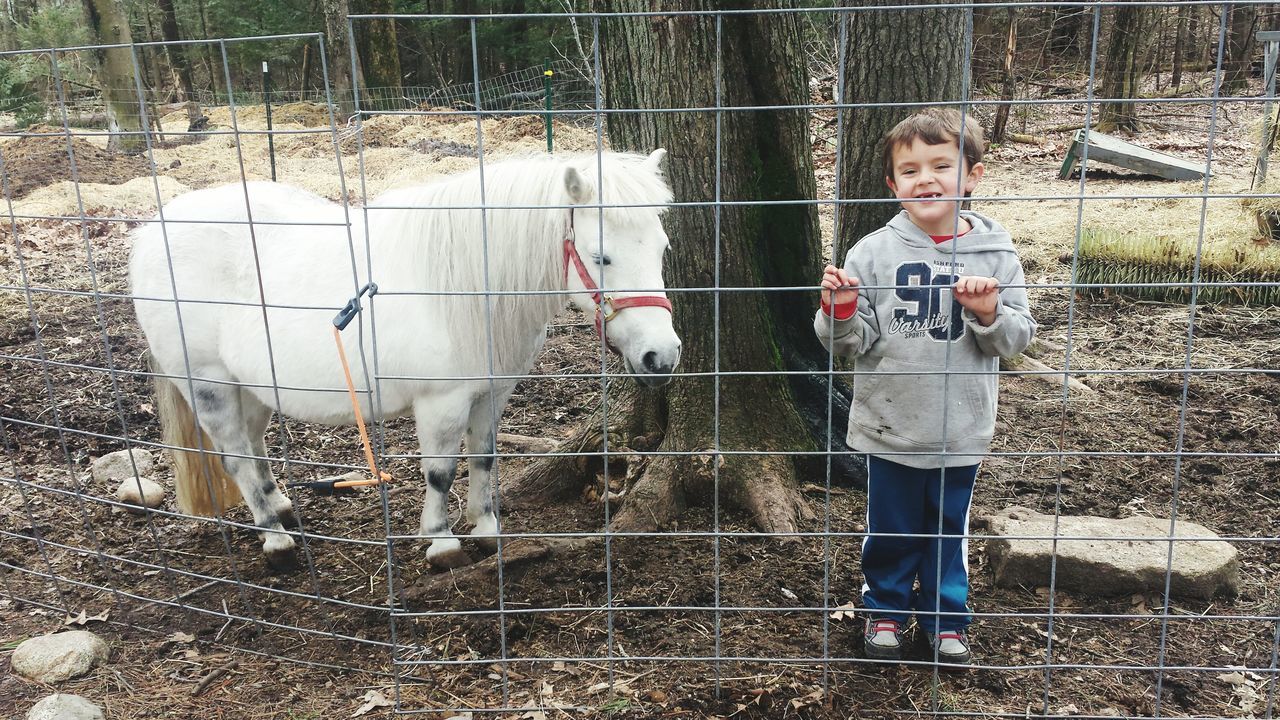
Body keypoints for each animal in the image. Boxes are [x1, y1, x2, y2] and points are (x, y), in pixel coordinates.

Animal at [132, 149, 680, 571]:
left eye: (662, 247)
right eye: (601, 256)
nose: (663, 355)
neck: (464, 286)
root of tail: (150, 231)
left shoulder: (493, 392)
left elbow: (484, 458)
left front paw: (487, 531)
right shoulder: (442, 401)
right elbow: (440, 472)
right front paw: (441, 545)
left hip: (251, 385)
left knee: (254, 444)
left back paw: (282, 507)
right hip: (208, 382)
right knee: (236, 457)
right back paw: (276, 540)